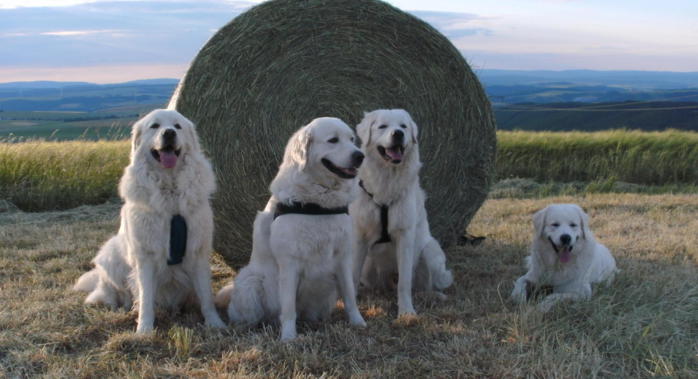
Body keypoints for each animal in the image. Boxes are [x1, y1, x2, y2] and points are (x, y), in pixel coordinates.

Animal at [72, 109, 223, 332]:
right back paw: (123, 307)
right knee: (112, 292)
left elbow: (206, 295)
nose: (169, 133)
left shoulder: (198, 251)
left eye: (177, 126)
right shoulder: (146, 255)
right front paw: (144, 329)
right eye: (155, 126)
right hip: (111, 255)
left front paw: (215, 323)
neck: (170, 190)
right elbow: (146, 297)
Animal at [215, 116, 368, 342]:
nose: (360, 156)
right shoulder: (289, 263)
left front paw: (358, 322)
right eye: (333, 140)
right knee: (249, 315)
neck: (317, 204)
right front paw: (288, 337)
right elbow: (288, 308)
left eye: (352, 139)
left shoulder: (343, 258)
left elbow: (350, 295)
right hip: (250, 282)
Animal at [348, 109, 452, 318]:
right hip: (369, 268)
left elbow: (404, 283)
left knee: (422, 286)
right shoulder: (360, 237)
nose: (398, 134)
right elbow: (353, 275)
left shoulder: (405, 237)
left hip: (429, 251)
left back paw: (435, 296)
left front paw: (406, 312)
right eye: (382, 126)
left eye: (403, 126)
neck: (387, 177)